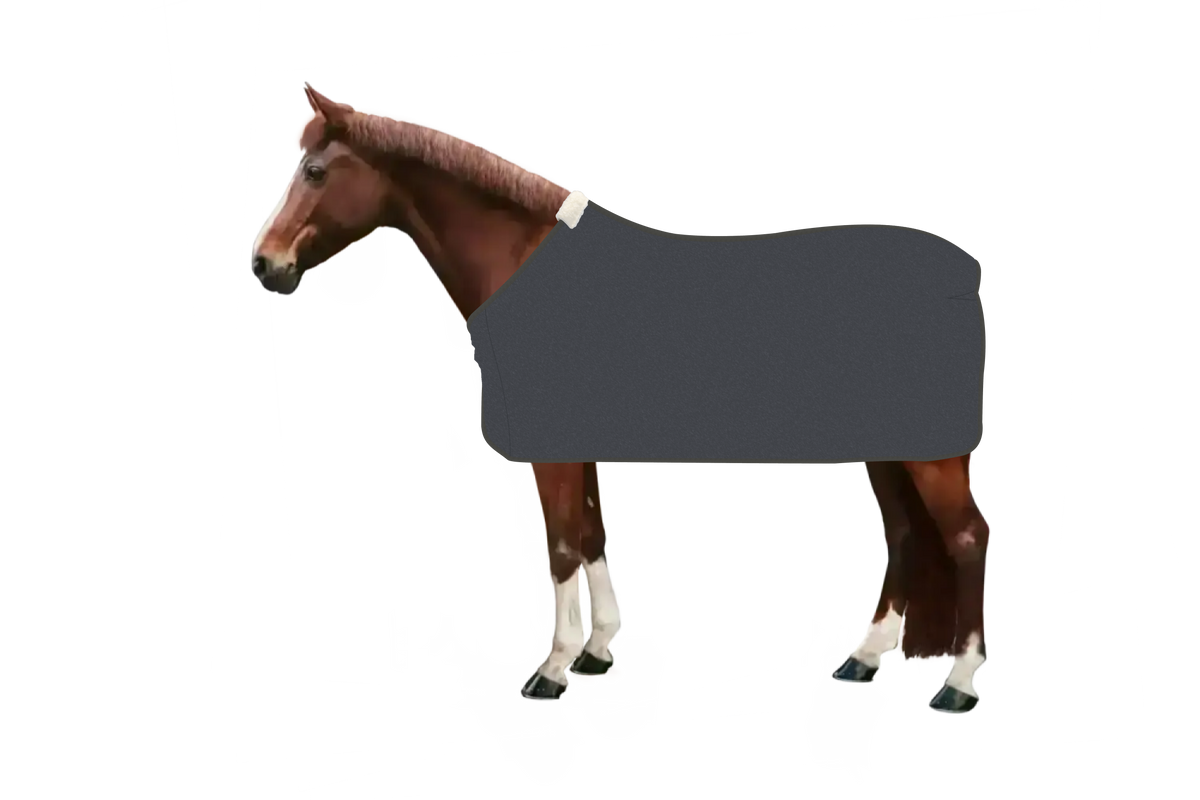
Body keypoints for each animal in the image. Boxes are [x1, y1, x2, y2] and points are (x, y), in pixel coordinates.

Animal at [247, 79, 994, 718]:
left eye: (315, 171)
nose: (264, 265)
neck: (531, 269)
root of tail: (965, 275)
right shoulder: (579, 448)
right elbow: (591, 536)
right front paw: (597, 652)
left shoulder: (552, 451)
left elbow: (561, 549)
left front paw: (550, 671)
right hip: (888, 451)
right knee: (905, 535)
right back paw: (864, 660)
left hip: (931, 455)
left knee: (965, 538)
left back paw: (958, 686)